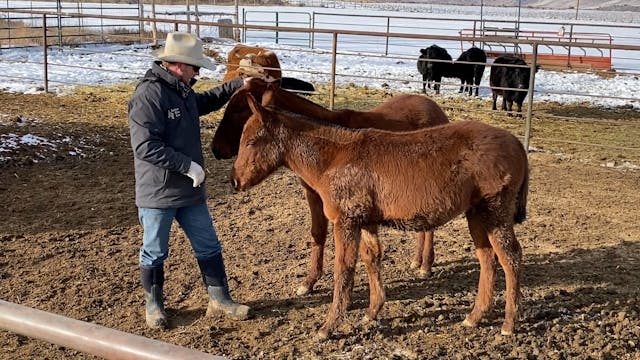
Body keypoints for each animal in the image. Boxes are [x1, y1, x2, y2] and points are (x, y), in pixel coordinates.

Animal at [211, 79, 450, 296]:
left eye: (239, 109)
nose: (216, 149)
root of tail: (436, 109)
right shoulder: (314, 195)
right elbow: (317, 233)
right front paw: (309, 282)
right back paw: (417, 260)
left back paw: (426, 265)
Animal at [232, 93, 528, 340]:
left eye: (251, 141)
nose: (235, 181)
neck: (333, 158)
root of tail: (517, 144)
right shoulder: (366, 221)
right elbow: (371, 258)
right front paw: (372, 312)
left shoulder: (346, 221)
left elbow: (343, 270)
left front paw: (328, 327)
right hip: (476, 213)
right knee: (487, 258)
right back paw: (474, 316)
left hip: (494, 210)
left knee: (510, 258)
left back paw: (508, 324)